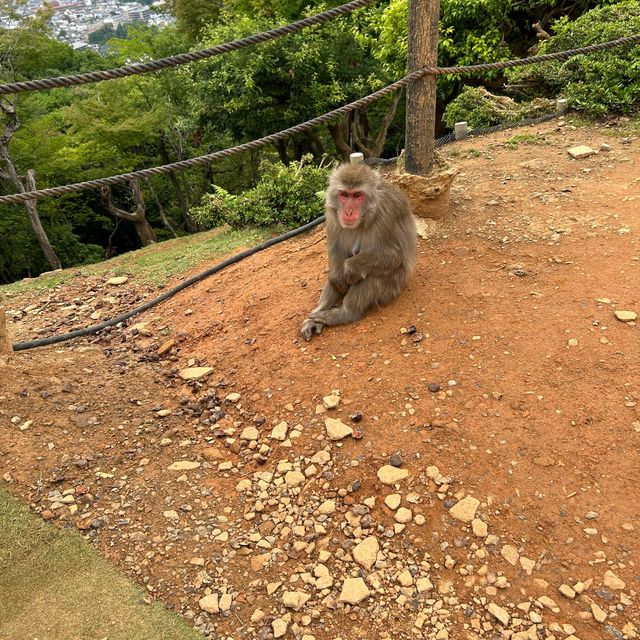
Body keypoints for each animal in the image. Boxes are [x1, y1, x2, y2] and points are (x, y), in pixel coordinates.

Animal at [300, 164, 416, 340]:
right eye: (344, 194)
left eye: (357, 195)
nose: (348, 212)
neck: (365, 216)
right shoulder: (331, 214)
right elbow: (336, 251)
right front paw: (338, 278)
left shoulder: (386, 213)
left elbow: (395, 255)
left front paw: (350, 268)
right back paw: (317, 315)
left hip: (393, 287)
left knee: (371, 274)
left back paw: (345, 313)